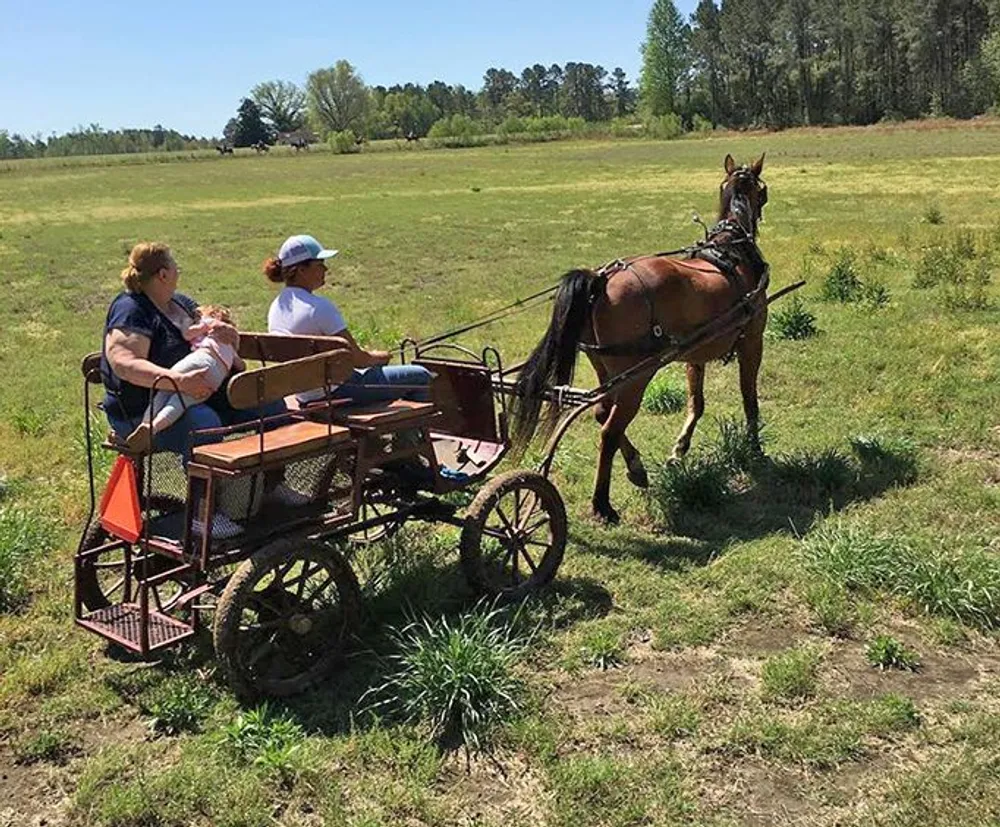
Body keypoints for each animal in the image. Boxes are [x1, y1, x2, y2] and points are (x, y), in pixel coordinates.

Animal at [512, 154, 768, 524]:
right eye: (763, 191)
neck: (733, 251)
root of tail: (601, 280)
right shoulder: (753, 342)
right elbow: (750, 399)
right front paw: (755, 447)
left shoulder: (694, 355)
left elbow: (696, 403)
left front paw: (679, 450)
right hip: (636, 376)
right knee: (609, 429)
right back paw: (603, 503)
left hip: (607, 369)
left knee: (602, 412)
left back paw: (636, 467)